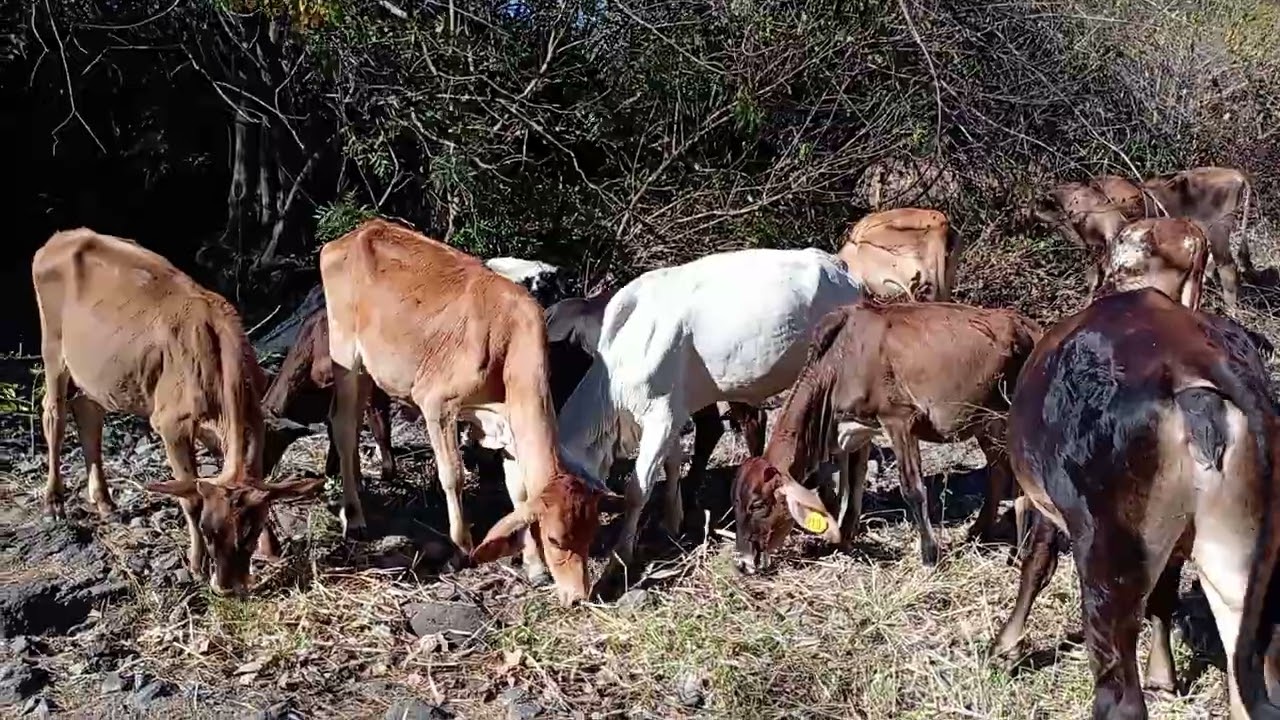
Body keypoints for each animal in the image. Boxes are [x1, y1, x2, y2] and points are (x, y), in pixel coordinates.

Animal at [32, 229, 323, 597]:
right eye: (210, 532)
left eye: (247, 535)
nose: (226, 588)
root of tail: (61, 237)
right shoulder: (171, 424)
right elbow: (190, 497)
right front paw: (197, 565)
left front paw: (271, 548)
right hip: (53, 348)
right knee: (53, 414)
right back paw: (53, 503)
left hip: (95, 371)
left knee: (88, 415)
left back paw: (105, 502)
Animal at [320, 219, 615, 606]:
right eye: (555, 538)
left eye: (591, 533)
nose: (579, 595)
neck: (506, 342)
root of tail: (359, 231)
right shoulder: (436, 404)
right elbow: (453, 475)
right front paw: (461, 549)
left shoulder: (507, 426)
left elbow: (520, 492)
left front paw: (533, 566)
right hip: (345, 355)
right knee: (342, 426)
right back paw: (354, 518)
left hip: (370, 369)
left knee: (354, 428)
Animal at [557, 247, 864, 590]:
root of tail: (835, 264)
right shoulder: (673, 415)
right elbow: (673, 464)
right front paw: (672, 522)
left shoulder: (661, 417)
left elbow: (637, 491)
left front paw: (618, 561)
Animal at [730, 301, 1041, 573]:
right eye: (736, 503)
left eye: (757, 504)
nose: (743, 562)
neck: (841, 361)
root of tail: (1027, 325)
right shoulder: (858, 429)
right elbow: (853, 487)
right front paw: (843, 539)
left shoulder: (899, 419)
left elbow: (913, 489)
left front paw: (929, 556)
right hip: (984, 423)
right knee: (998, 470)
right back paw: (979, 530)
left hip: (1005, 417)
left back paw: (1017, 552)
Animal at [989, 288, 1279, 720]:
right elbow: (1162, 597)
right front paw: (1163, 678)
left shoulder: (1048, 509)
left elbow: (1037, 564)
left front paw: (1005, 648)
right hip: (1239, 565)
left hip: (1107, 562)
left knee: (1120, 698)